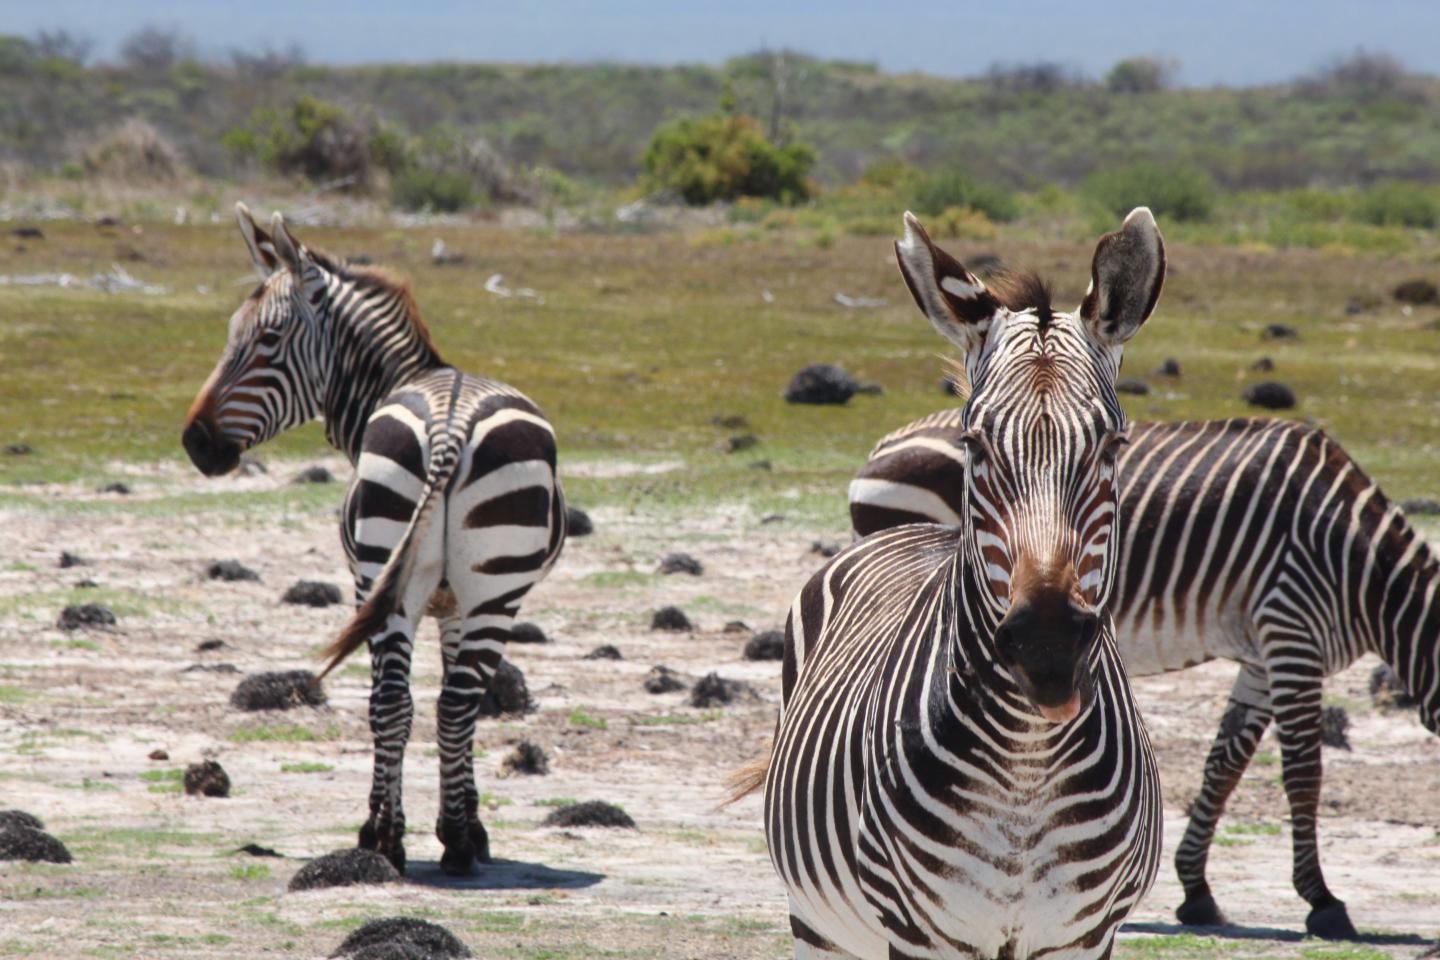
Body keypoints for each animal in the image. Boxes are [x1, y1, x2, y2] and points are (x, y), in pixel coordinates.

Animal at [182, 204, 565, 876]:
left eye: (267, 340)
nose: (195, 442)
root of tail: (450, 427)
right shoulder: (446, 602)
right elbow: (440, 701)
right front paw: (465, 825)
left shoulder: (410, 593)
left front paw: (449, 823)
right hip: (473, 589)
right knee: (442, 704)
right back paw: (434, 842)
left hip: (405, 576)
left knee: (403, 700)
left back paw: (393, 837)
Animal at [734, 209, 1167, 959]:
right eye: (974, 443)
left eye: (1112, 445)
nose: (1048, 648)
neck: (1027, 762)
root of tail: (916, 531)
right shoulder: (920, 932)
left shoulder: (1085, 936)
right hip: (819, 925)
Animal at [851, 411, 1440, 939]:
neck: (1356, 561)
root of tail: (884, 444)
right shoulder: (1290, 629)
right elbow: (1302, 774)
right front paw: (1322, 901)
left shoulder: (1259, 656)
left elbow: (1224, 763)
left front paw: (1197, 891)